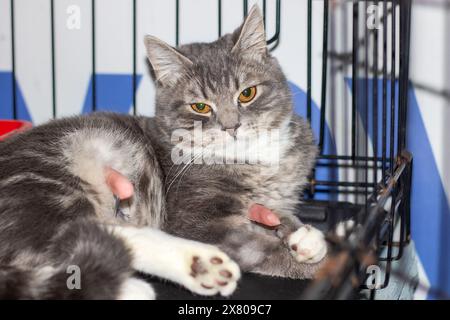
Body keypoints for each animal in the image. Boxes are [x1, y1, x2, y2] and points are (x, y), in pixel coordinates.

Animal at [0, 5, 324, 300]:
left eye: (247, 93)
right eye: (200, 107)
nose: (231, 126)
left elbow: (277, 214)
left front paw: (304, 235)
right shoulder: (196, 218)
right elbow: (256, 245)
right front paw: (314, 263)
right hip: (55, 180)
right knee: (71, 238)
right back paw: (180, 273)